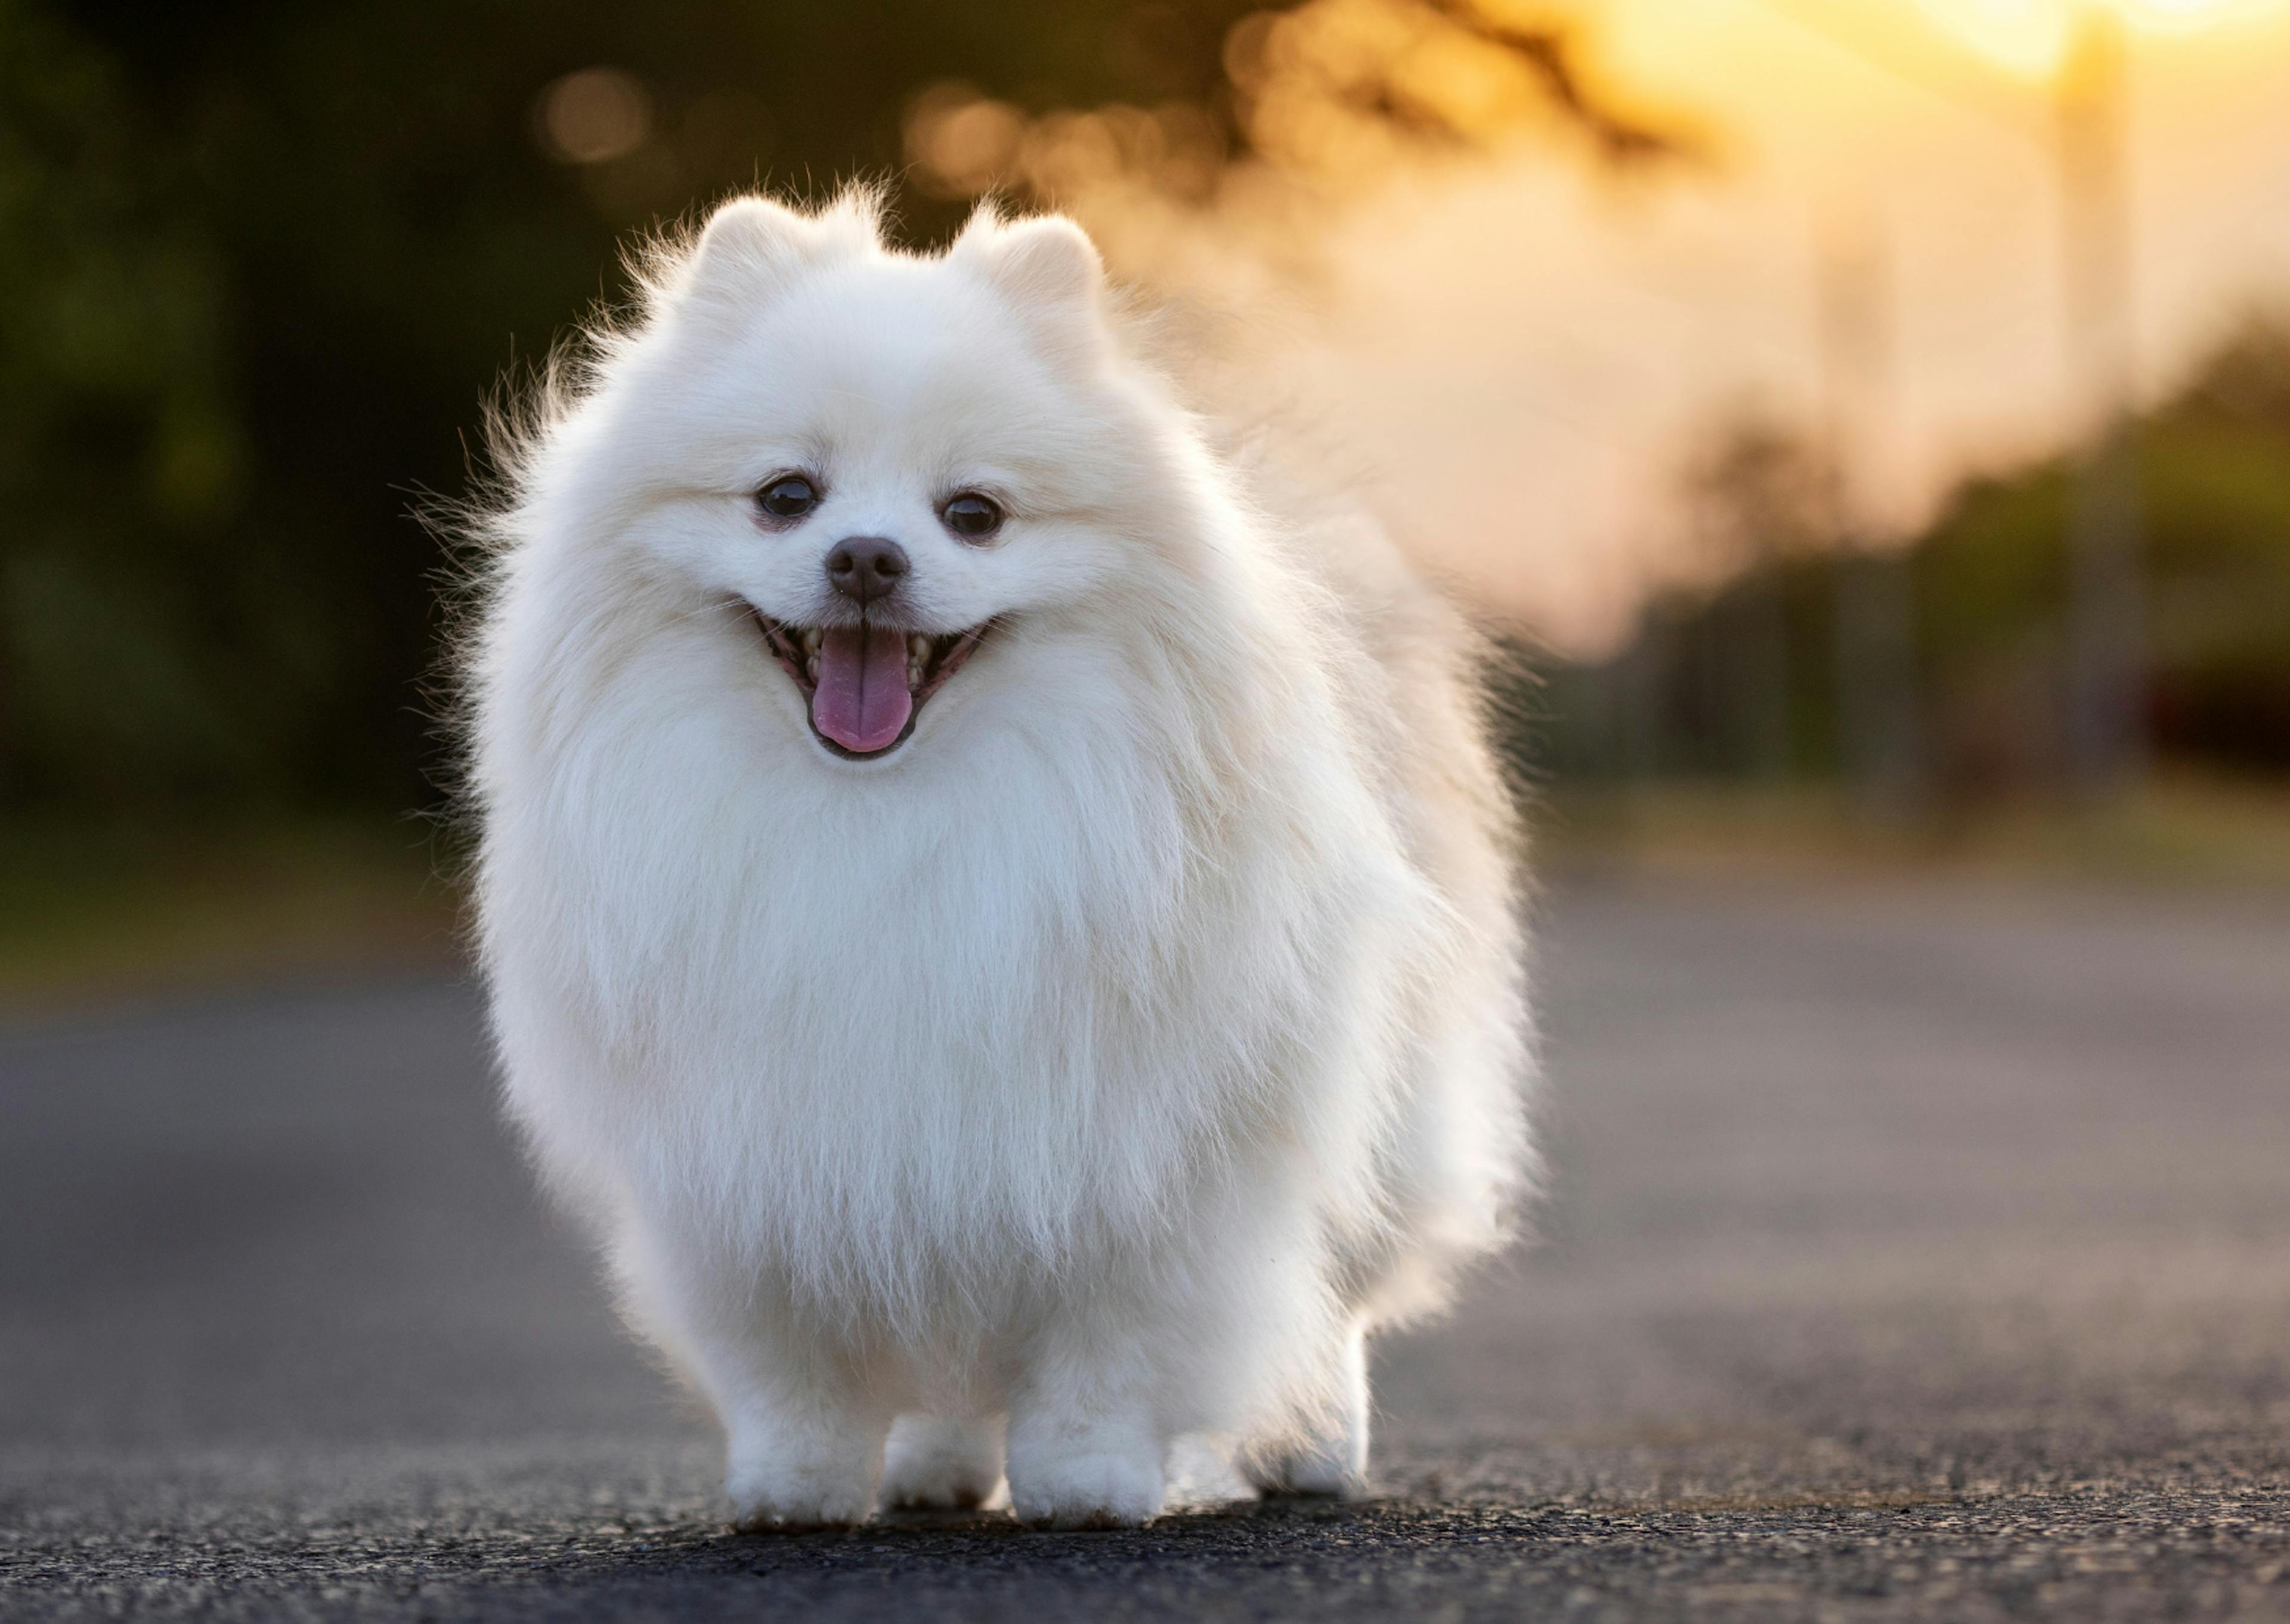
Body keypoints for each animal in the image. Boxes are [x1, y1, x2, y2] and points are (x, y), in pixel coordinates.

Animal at [460, 190, 1539, 1530]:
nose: (868, 556)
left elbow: (1109, 1345)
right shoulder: (754, 1155)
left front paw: (1090, 1481)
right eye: (787, 495)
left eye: (973, 513)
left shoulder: (1146, 1153)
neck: (886, 821)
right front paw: (794, 1483)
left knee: (1340, 1285)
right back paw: (936, 1466)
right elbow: (789, 1357)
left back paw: (1310, 1445)